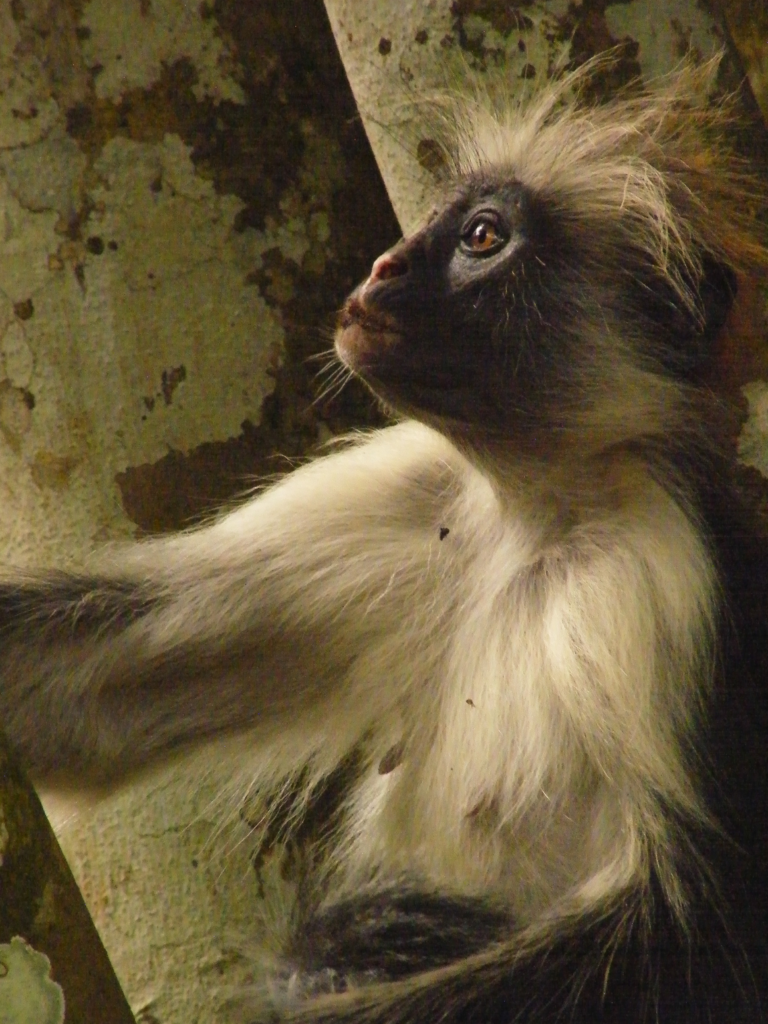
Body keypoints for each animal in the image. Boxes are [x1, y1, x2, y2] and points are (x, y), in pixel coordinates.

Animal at [1, 58, 768, 1024]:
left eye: (482, 237)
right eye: (434, 225)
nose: (382, 264)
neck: (535, 522)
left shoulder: (664, 563)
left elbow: (698, 935)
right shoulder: (407, 490)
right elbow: (83, 700)